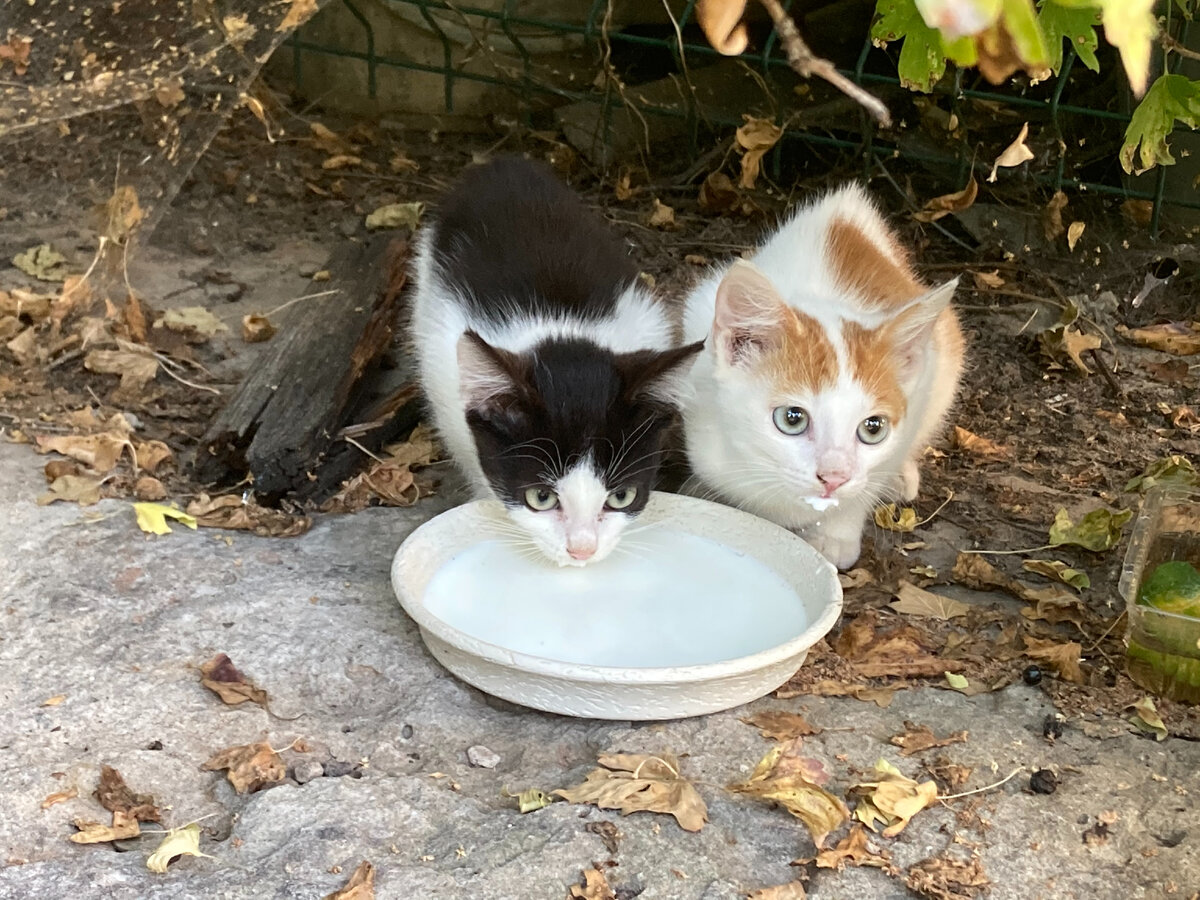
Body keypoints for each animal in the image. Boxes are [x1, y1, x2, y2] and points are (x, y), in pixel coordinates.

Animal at [686, 183, 964, 571]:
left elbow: (868, 482)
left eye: (873, 428)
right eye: (792, 419)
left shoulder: (924, 385)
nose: (834, 477)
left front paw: (837, 534)